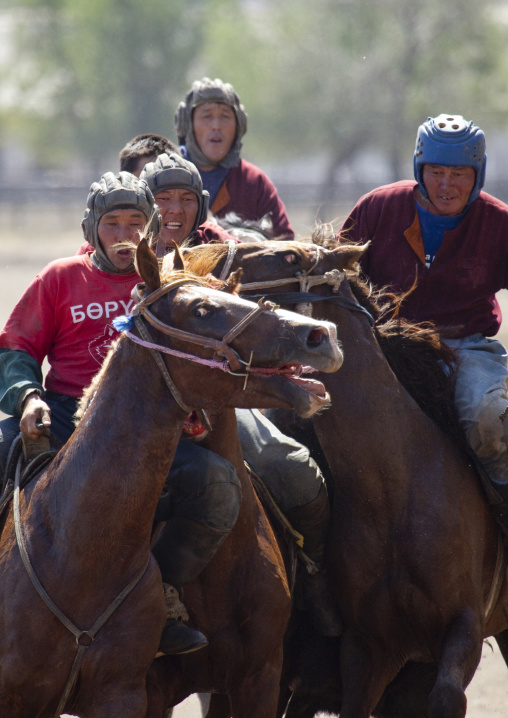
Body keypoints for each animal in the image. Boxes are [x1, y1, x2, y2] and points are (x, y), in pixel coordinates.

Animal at [180, 236, 508, 718]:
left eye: (291, 255)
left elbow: (446, 697)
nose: (197, 258)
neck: (397, 488)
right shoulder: (366, 647)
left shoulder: (462, 626)